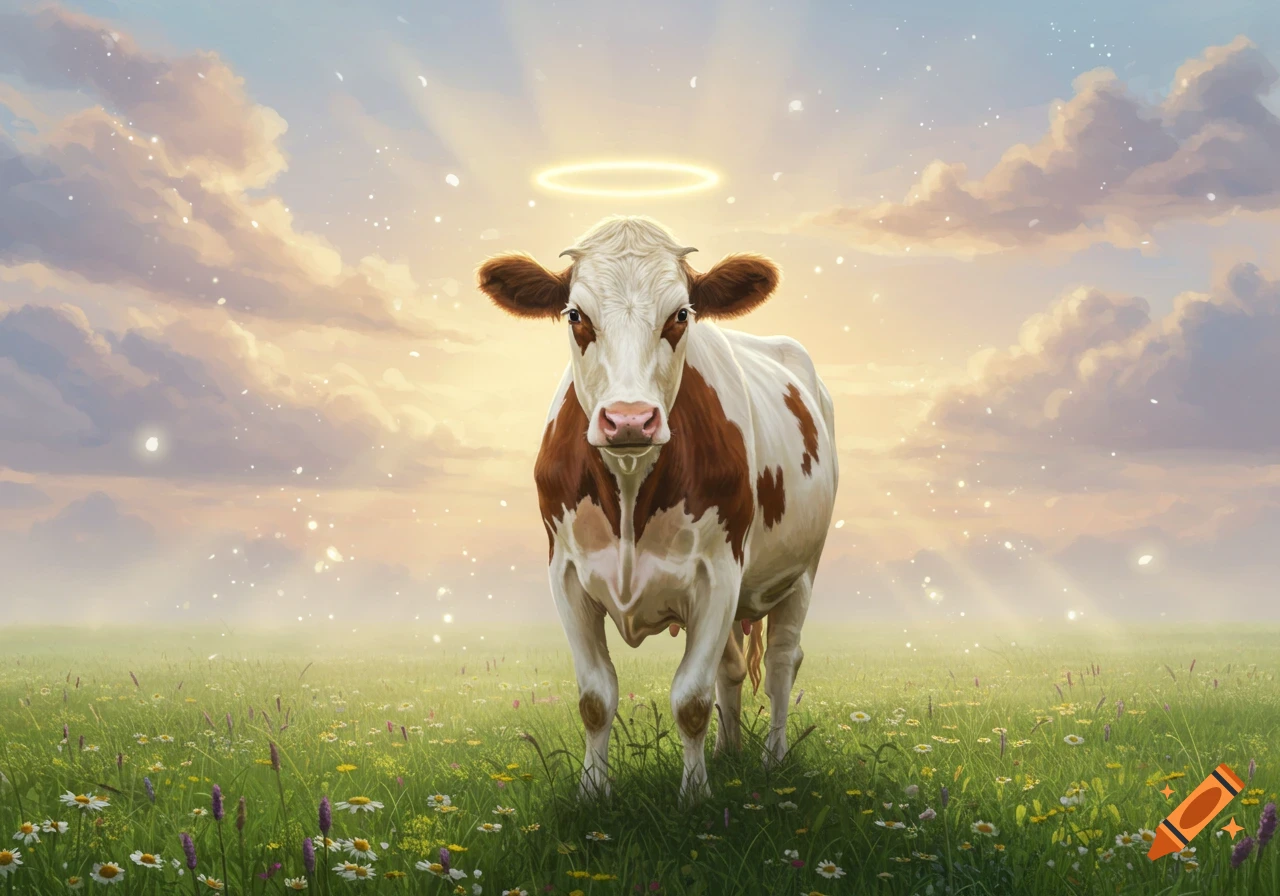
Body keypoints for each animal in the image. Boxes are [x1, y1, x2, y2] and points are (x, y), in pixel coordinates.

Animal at [477, 216, 838, 802]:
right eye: (575, 315)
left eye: (680, 314)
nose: (629, 419)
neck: (629, 493)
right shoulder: (567, 575)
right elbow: (595, 698)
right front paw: (592, 794)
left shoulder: (719, 574)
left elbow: (690, 700)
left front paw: (694, 797)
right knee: (731, 668)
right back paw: (729, 752)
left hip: (801, 572)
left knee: (783, 662)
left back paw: (772, 760)